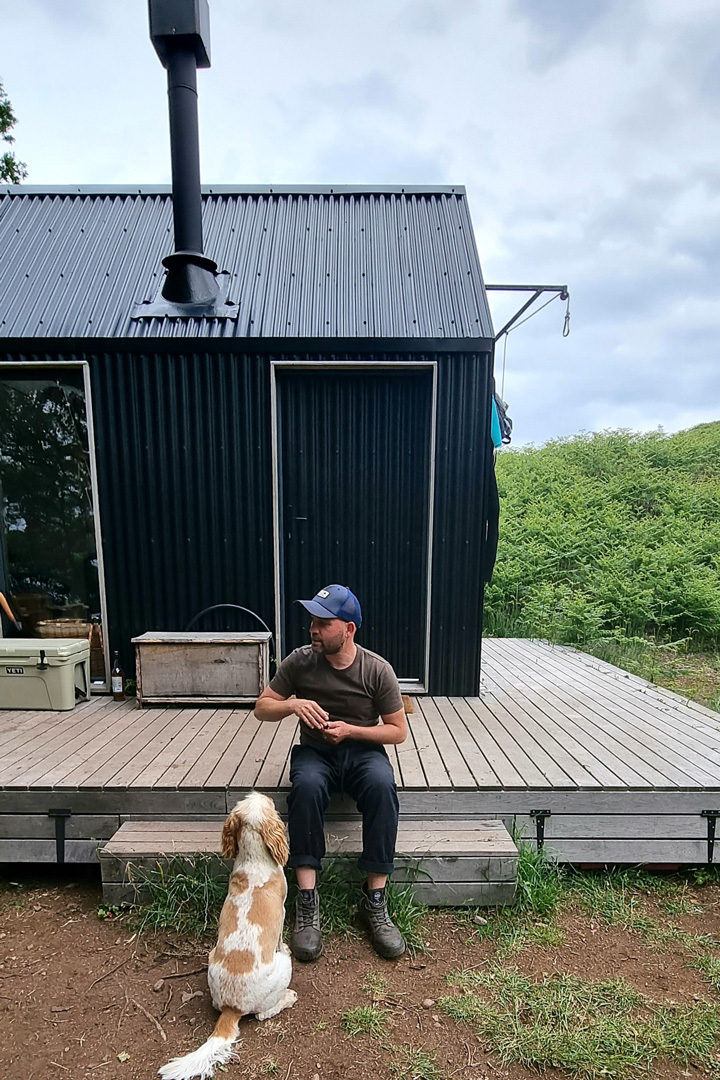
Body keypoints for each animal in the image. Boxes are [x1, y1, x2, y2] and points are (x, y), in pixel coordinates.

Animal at [160, 790, 297, 1075]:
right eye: (270, 804)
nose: (265, 795)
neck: (253, 858)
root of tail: (231, 1009)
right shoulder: (282, 909)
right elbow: (280, 938)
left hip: (212, 956)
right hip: (283, 968)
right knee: (263, 1013)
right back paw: (288, 997)